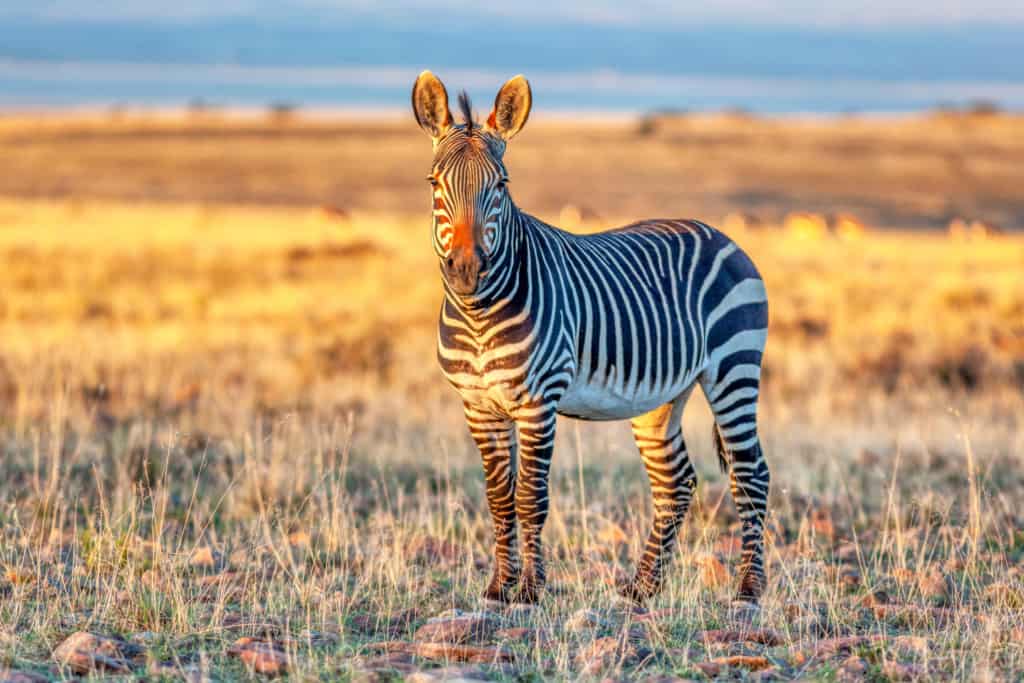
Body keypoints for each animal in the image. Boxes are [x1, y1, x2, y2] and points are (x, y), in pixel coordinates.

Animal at [411, 70, 770, 602]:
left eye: (501, 185)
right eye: (435, 183)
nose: (466, 270)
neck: (478, 317)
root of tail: (721, 235)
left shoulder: (538, 402)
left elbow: (530, 498)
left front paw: (530, 591)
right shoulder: (478, 405)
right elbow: (499, 499)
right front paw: (498, 588)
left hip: (734, 368)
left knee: (751, 474)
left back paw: (749, 588)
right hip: (659, 396)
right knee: (676, 482)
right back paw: (643, 587)